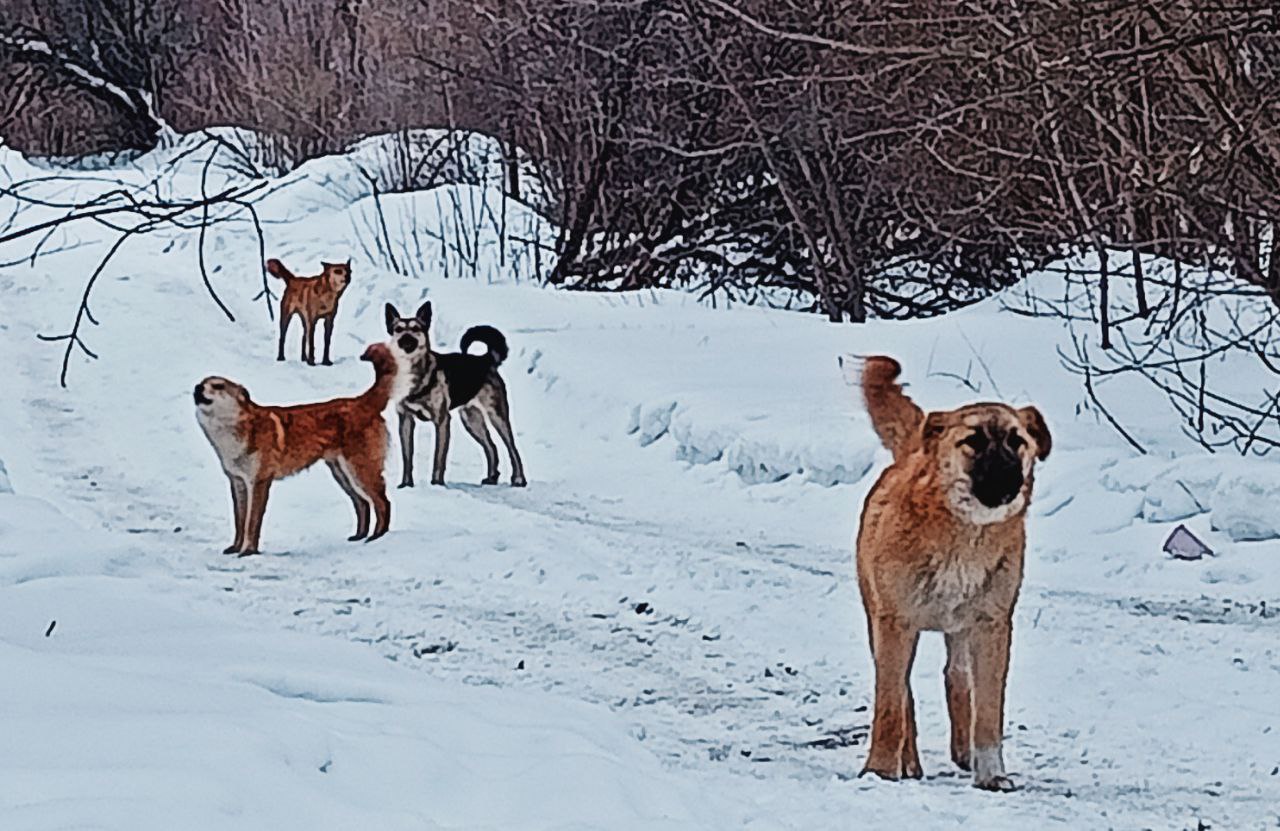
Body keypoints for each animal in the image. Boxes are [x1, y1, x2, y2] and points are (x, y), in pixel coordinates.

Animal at [194, 340, 399, 553]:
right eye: (202, 382)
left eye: (218, 385)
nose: (197, 388)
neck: (235, 428)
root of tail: (361, 402)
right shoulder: (238, 482)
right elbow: (240, 520)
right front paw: (235, 548)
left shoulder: (259, 481)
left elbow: (252, 522)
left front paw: (249, 551)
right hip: (342, 472)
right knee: (363, 503)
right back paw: (360, 536)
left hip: (361, 468)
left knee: (383, 503)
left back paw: (377, 537)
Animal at [389, 300, 529, 486]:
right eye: (398, 329)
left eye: (416, 328)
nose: (405, 340)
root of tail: (485, 359)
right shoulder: (405, 420)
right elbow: (407, 457)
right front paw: (406, 485)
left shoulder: (442, 421)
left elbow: (438, 458)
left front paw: (437, 484)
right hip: (471, 419)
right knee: (491, 446)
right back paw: (491, 477)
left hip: (497, 415)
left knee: (512, 447)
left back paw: (519, 479)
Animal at [855, 353, 1054, 788]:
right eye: (973, 441)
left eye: (1017, 441)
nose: (1008, 476)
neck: (964, 539)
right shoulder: (894, 622)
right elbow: (891, 705)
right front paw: (880, 769)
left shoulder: (991, 626)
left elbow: (988, 710)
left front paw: (991, 773)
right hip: (878, 617)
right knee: (904, 693)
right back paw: (908, 761)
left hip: (959, 632)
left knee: (956, 678)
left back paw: (962, 751)